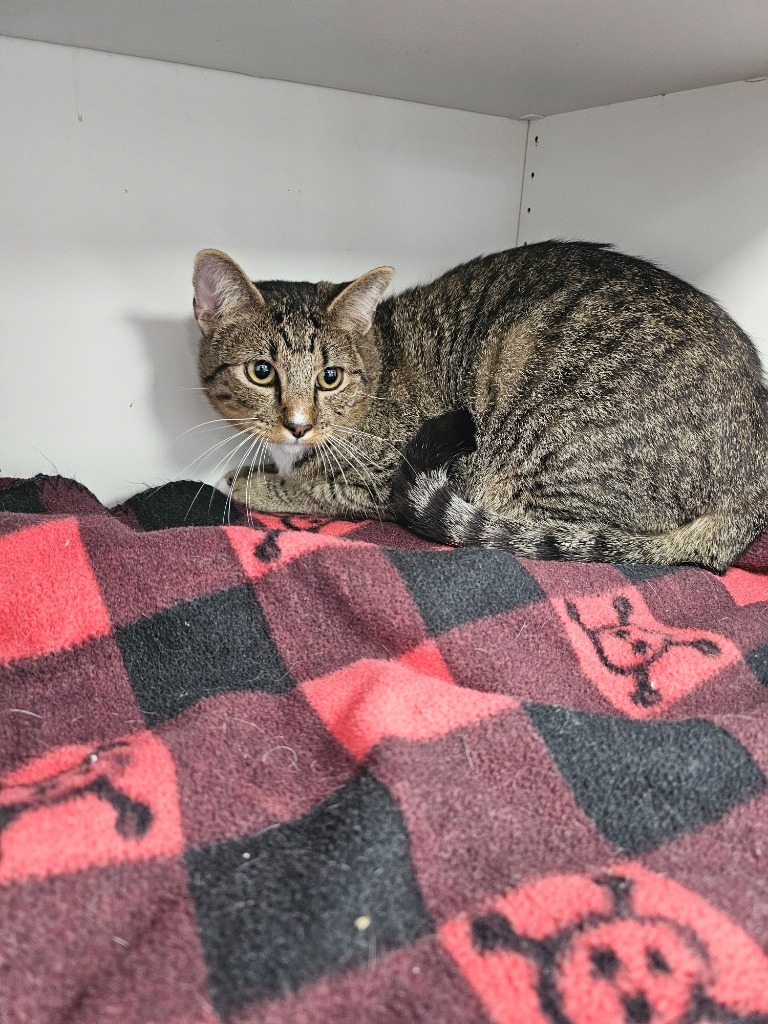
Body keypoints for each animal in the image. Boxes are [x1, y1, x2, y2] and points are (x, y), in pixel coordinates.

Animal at [193, 243, 768, 573]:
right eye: (261, 371)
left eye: (328, 378)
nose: (297, 425)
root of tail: (750, 495)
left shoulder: (380, 481)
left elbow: (319, 489)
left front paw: (256, 482)